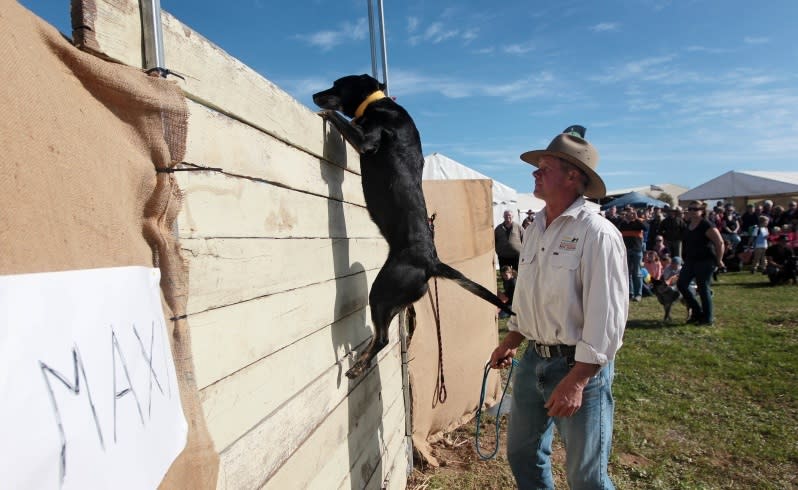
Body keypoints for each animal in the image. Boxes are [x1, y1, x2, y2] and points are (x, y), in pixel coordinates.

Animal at [312, 73, 512, 378]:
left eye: (337, 84)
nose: (314, 96)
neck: (377, 104)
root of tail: (432, 262)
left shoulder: (366, 140)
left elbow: (340, 119)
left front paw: (325, 113)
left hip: (382, 291)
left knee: (382, 337)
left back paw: (358, 368)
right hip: (396, 302)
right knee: (378, 336)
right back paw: (361, 361)